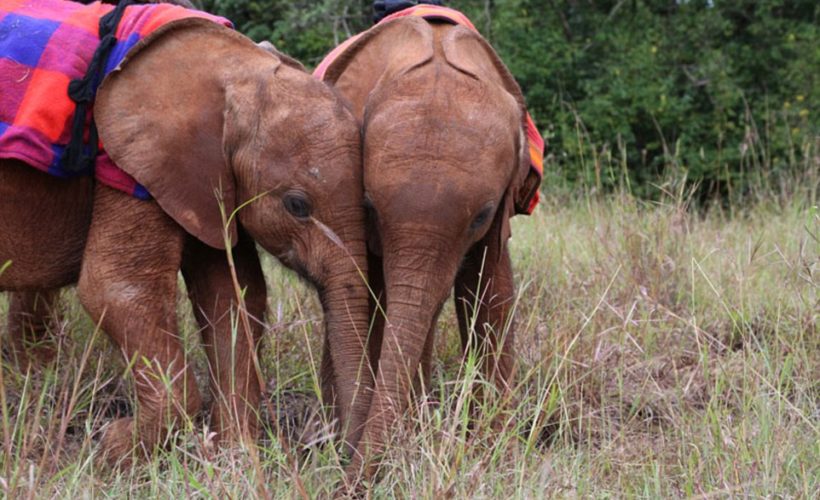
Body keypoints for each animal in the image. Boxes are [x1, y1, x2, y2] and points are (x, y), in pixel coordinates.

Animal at [0, 1, 372, 464]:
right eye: (297, 206)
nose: (332, 451)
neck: (234, 62)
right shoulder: (133, 163)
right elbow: (116, 290)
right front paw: (113, 447)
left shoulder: (200, 172)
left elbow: (232, 292)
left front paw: (236, 456)